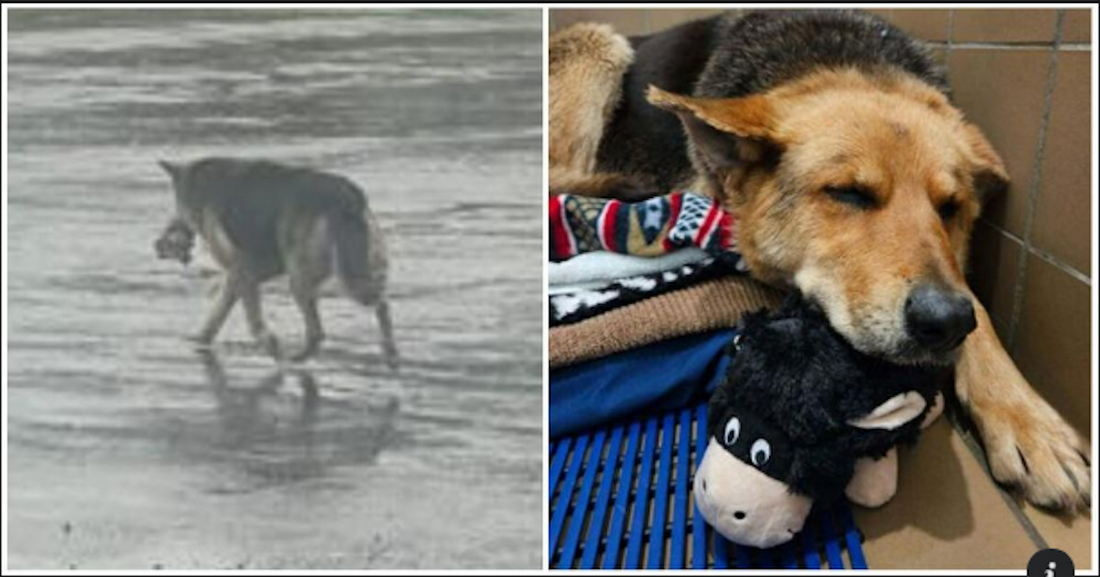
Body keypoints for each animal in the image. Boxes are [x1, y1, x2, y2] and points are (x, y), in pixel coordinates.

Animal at [155, 157, 396, 364]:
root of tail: (348, 197)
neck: (201, 185)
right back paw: (389, 349)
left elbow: (250, 317)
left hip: (304, 278)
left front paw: (268, 342)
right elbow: (219, 311)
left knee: (317, 331)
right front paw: (201, 340)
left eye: (176, 205)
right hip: (354, 270)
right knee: (382, 304)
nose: (159, 243)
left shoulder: (242, 269)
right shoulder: (249, 271)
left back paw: (294, 359)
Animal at [550, 10, 1091, 507]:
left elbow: (974, 303)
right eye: (848, 193)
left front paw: (1026, 418)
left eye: (950, 208)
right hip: (597, 44)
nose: (946, 323)